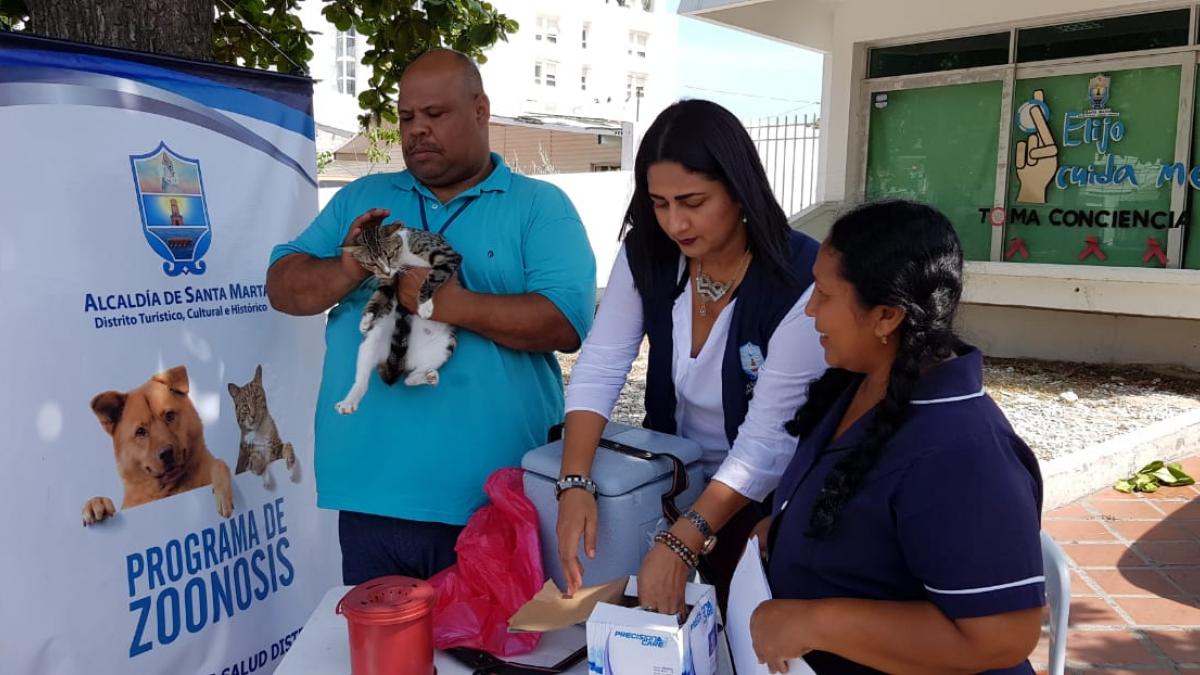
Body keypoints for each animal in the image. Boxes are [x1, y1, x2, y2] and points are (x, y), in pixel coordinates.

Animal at [336, 219, 460, 415]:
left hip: (445, 344)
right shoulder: (387, 281)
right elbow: (380, 294)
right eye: (371, 264)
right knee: (365, 378)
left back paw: (426, 376)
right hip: (373, 339)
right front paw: (366, 318)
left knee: (409, 378)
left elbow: (434, 275)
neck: (402, 255)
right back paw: (349, 401)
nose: (386, 271)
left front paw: (424, 304)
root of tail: (406, 359)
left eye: (389, 254)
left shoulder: (446, 254)